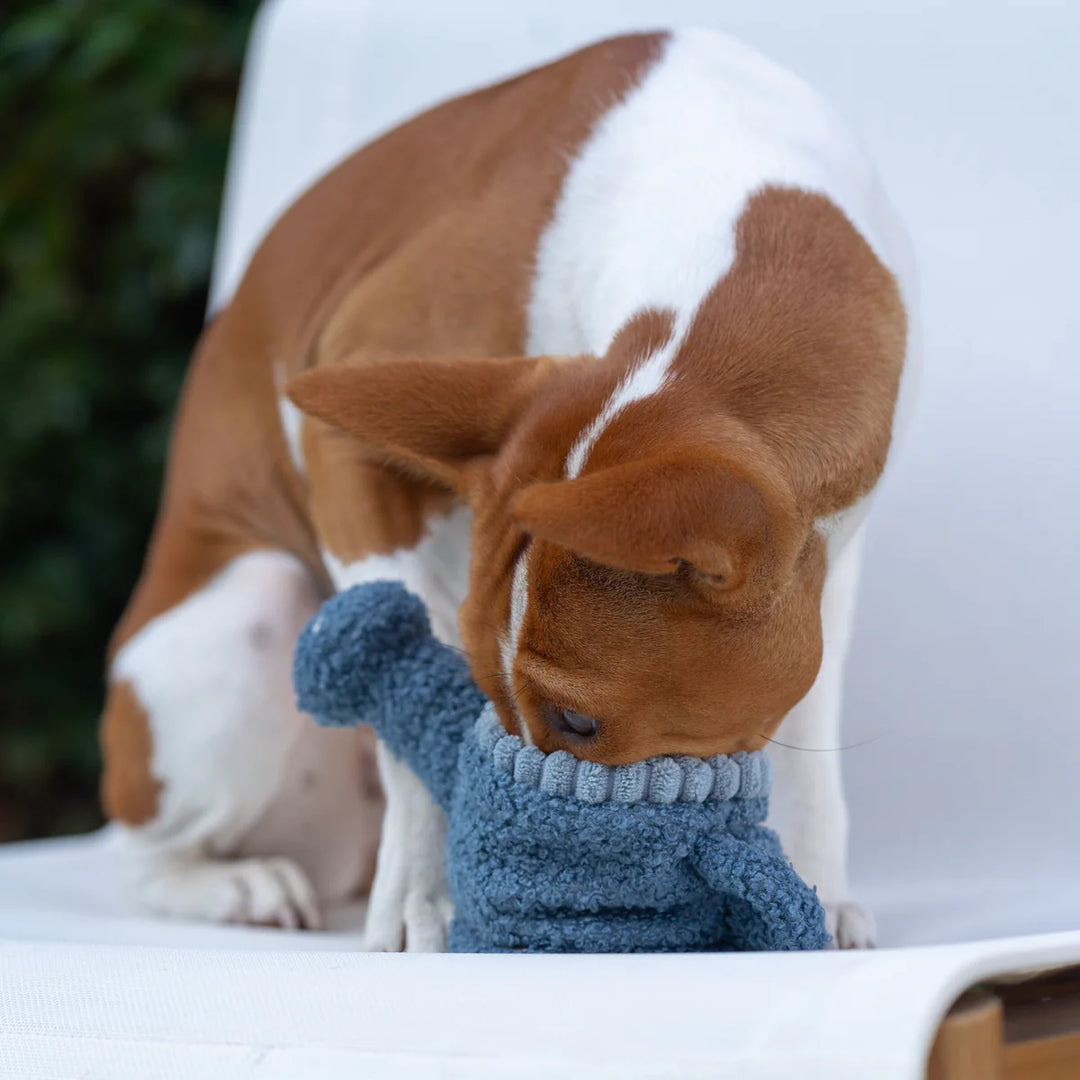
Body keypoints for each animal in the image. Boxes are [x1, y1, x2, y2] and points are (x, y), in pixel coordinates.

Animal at [99, 29, 911, 950]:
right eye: (487, 689)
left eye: (580, 723)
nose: (528, 839)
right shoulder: (345, 430)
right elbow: (408, 716)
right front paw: (423, 897)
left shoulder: (832, 559)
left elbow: (813, 746)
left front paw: (819, 890)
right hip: (253, 609)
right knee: (135, 855)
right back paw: (236, 884)